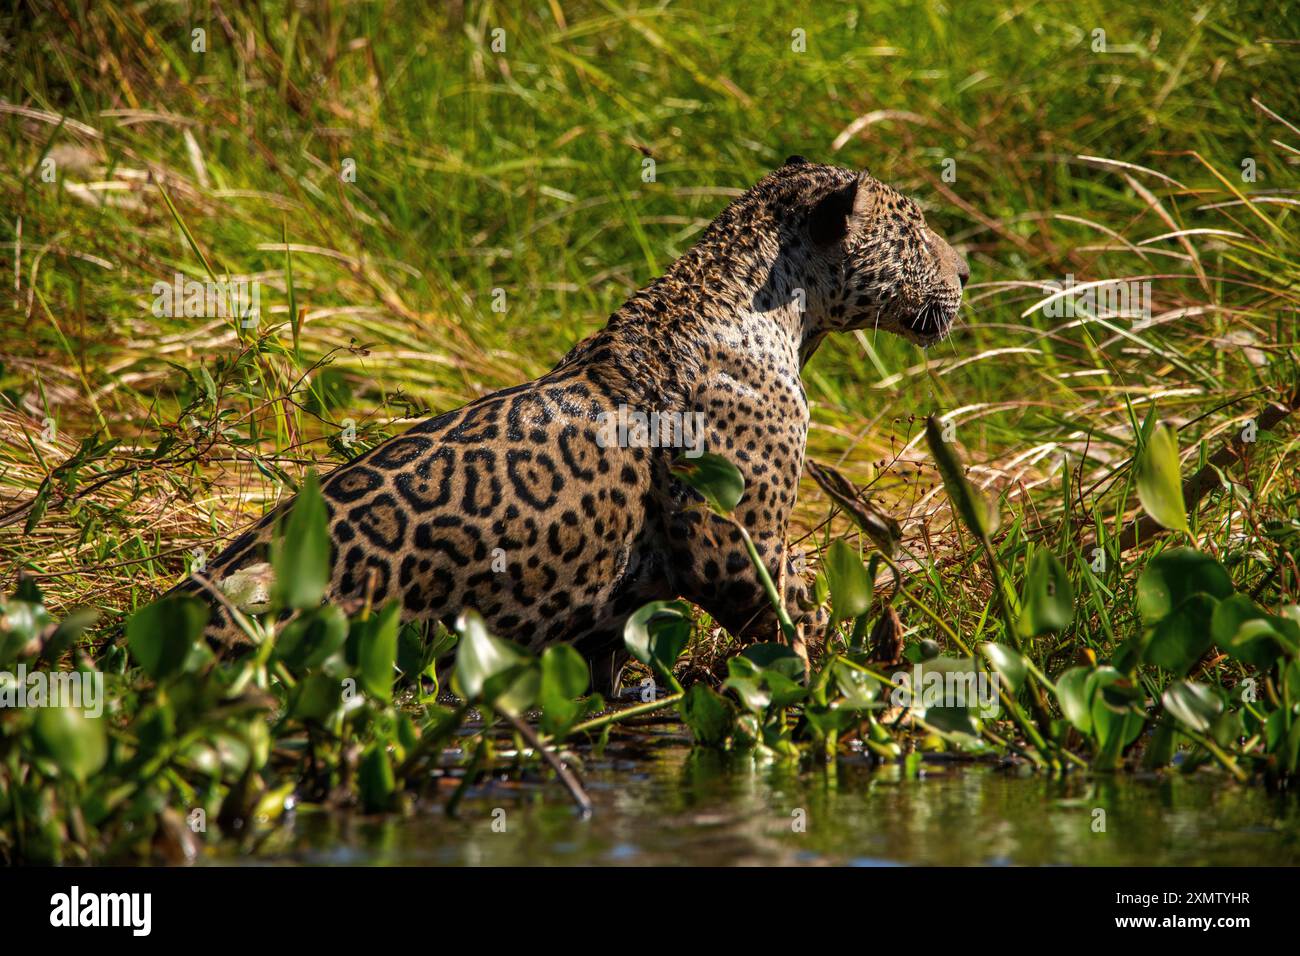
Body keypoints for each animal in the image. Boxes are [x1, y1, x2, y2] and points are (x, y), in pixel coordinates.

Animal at [168, 157, 969, 695]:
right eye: (917, 229)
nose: (965, 272)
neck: (783, 314)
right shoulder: (739, 543)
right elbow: (799, 630)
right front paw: (852, 673)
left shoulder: (606, 617)